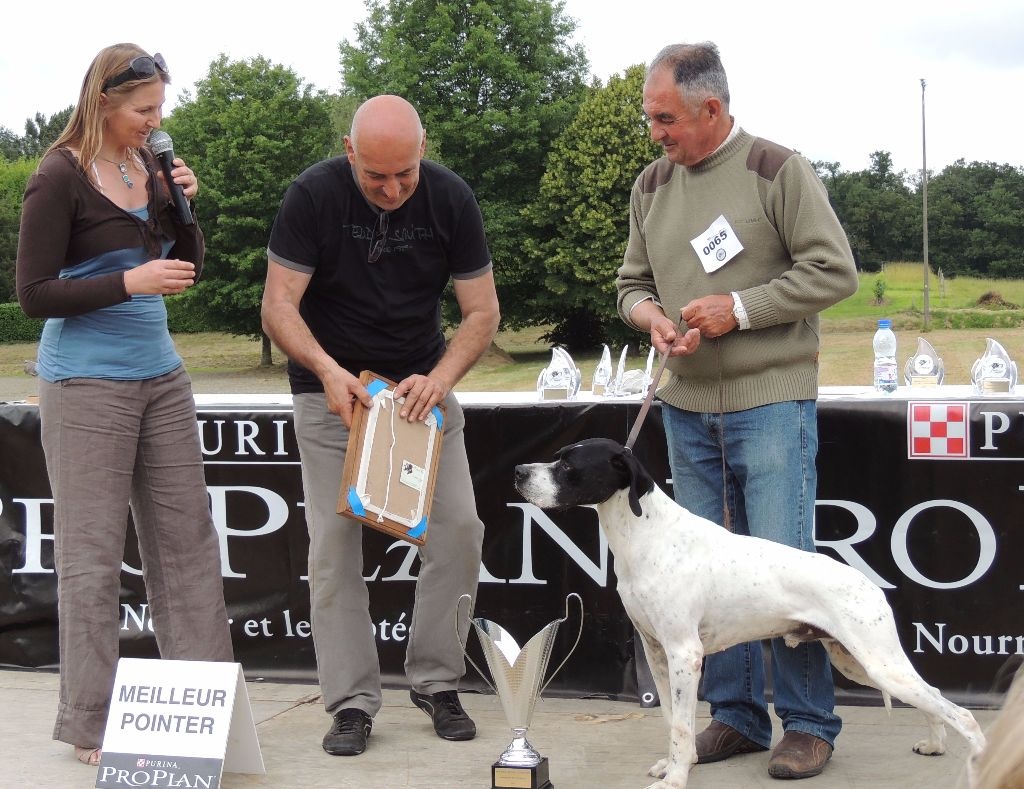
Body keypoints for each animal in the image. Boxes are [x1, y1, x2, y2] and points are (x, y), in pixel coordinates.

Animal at [516, 437, 987, 789]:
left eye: (568, 464)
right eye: (557, 456)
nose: (519, 472)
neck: (647, 535)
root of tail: (871, 587)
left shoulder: (685, 654)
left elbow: (683, 726)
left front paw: (675, 778)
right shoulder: (657, 652)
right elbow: (671, 720)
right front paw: (672, 764)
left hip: (879, 663)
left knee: (961, 713)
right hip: (860, 663)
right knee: (934, 699)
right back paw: (934, 745)